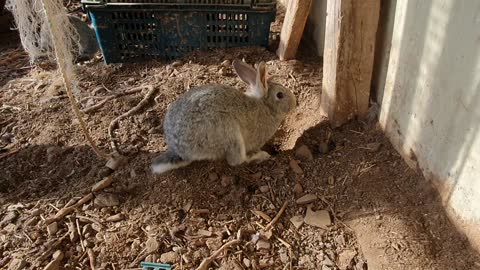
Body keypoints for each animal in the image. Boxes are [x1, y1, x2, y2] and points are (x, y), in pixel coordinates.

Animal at [152, 59, 296, 174]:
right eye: (280, 95)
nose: (295, 102)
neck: (266, 106)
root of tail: (181, 151)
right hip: (229, 133)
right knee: (236, 160)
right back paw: (261, 156)